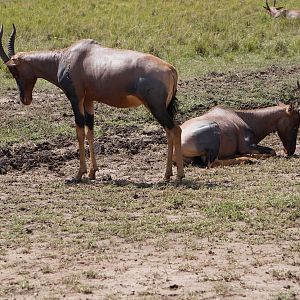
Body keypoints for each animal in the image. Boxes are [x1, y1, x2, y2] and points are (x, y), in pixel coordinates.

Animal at [0, 24, 185, 182]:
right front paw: (92, 172)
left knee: (174, 129)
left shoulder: (75, 99)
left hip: (156, 107)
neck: (67, 57)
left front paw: (78, 174)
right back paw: (171, 175)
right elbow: (90, 131)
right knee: (172, 130)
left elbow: (79, 132)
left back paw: (174, 175)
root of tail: (171, 69)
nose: (25, 99)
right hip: (163, 107)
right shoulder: (88, 101)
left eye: (13, 69)